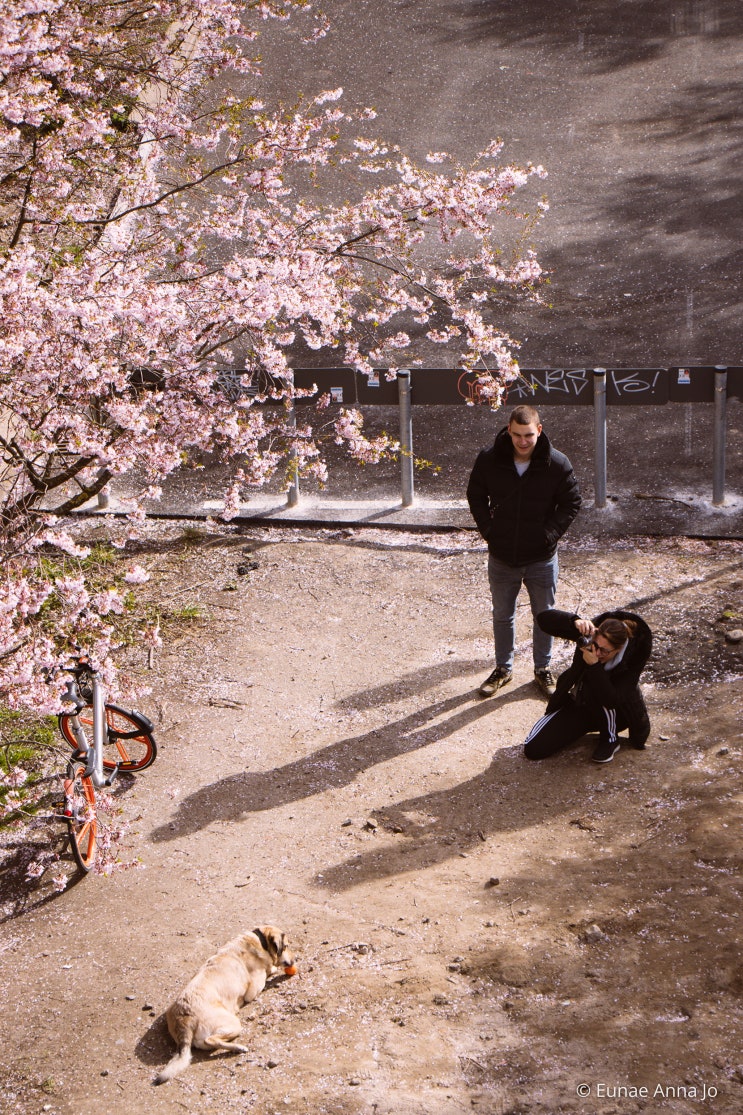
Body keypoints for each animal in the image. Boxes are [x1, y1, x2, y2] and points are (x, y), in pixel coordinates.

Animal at [151, 927, 294, 1083]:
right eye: (286, 946)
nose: (294, 960)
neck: (259, 942)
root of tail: (184, 1018)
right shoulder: (254, 989)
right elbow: (270, 971)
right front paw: (273, 969)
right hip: (233, 1024)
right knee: (211, 1039)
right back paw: (238, 1048)